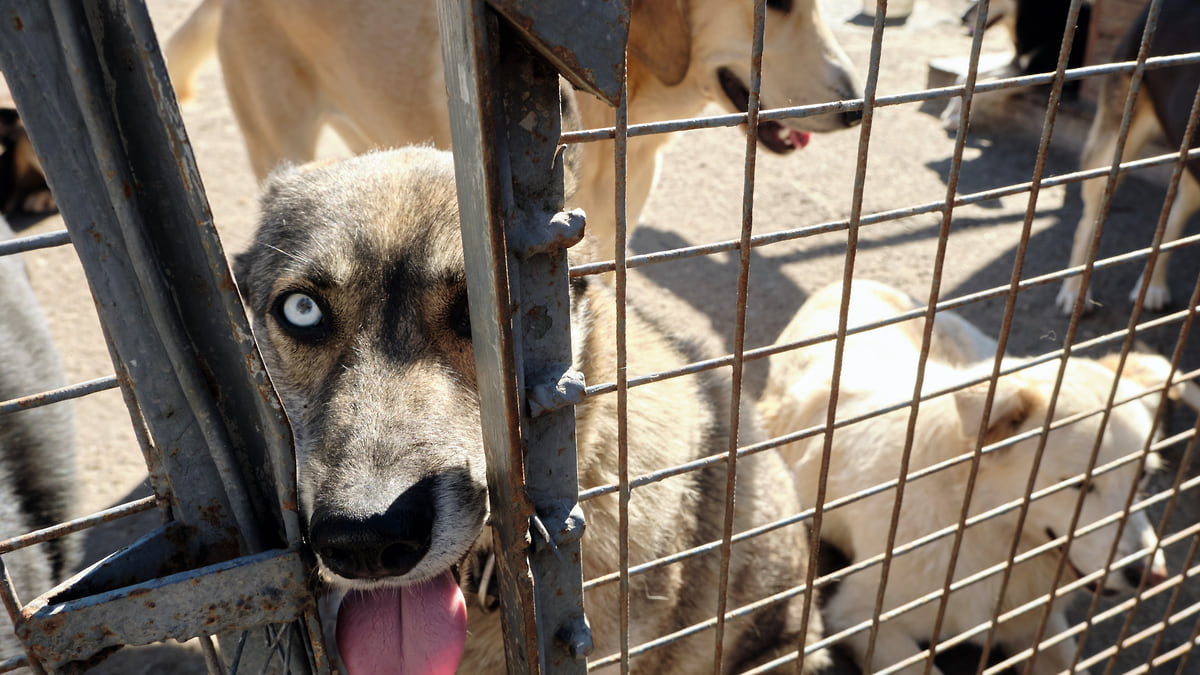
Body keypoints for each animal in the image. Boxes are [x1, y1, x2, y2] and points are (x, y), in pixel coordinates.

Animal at [758, 277, 1180, 672]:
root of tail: (851, 283)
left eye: (1143, 477)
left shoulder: (1034, 620)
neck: (978, 525)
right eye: (1078, 484)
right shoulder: (860, 617)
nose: (1151, 575)